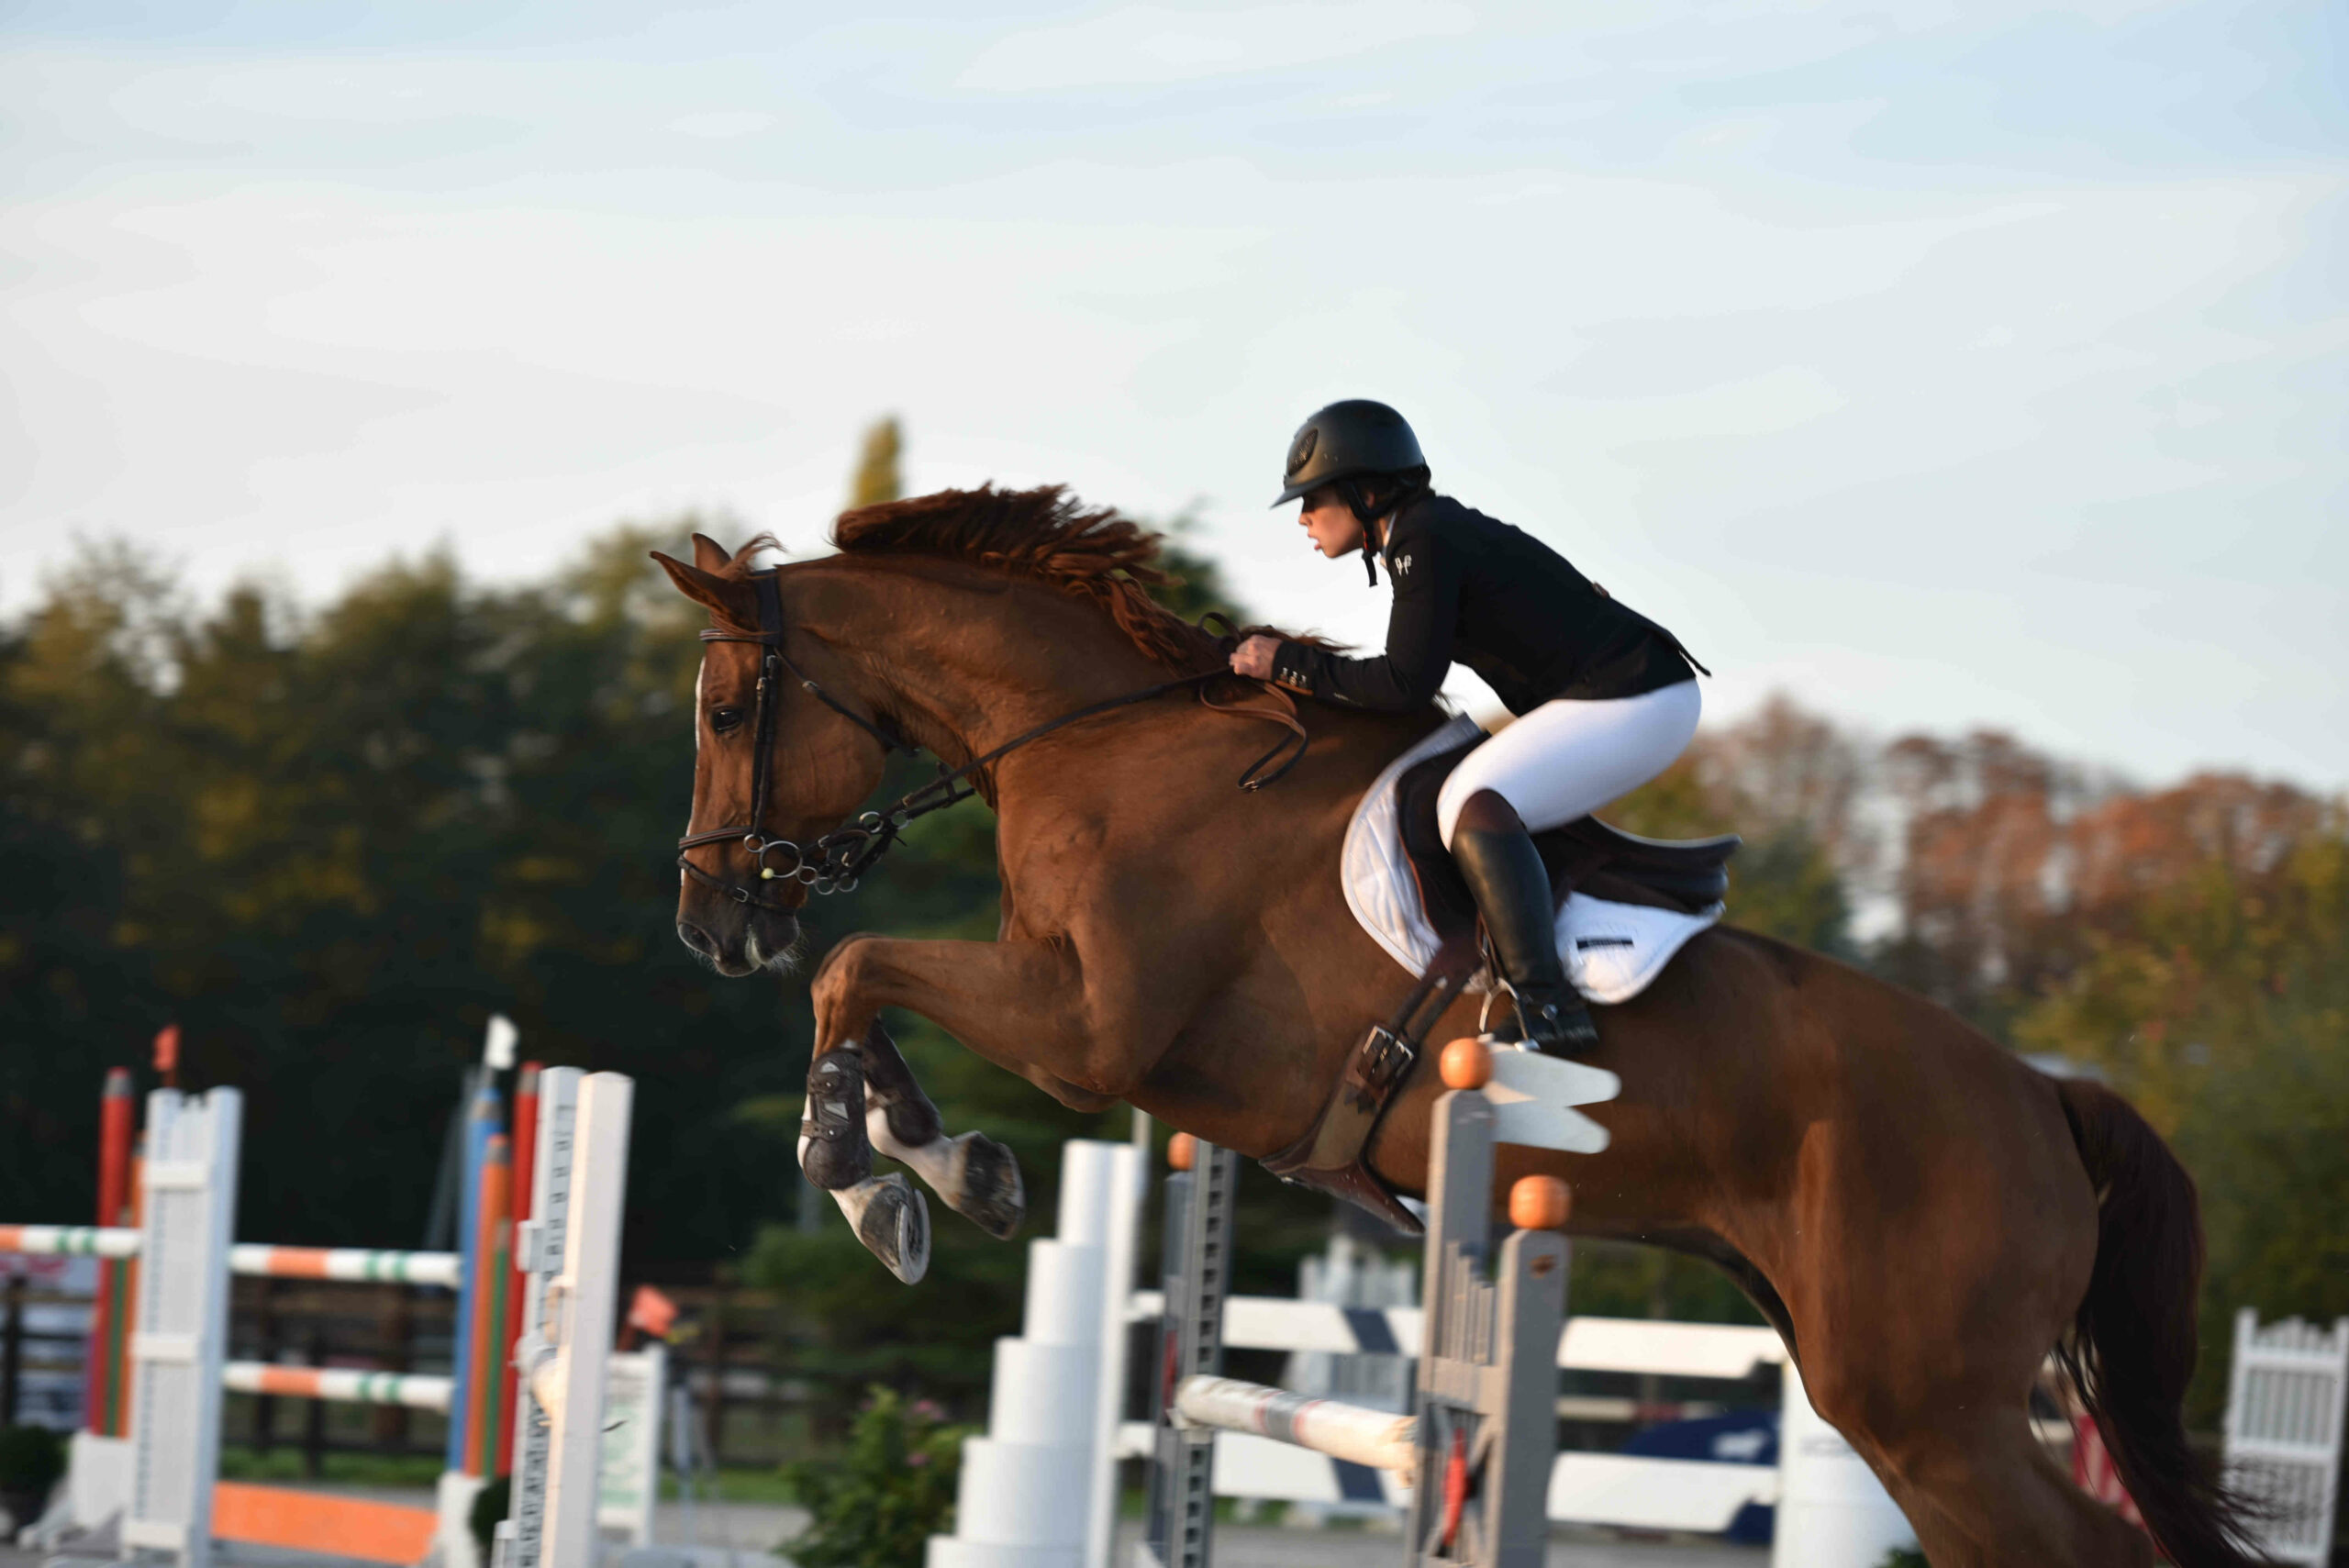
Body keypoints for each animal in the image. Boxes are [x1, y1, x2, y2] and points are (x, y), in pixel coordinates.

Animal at [657, 490, 2254, 1568]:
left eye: (729, 711)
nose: (711, 926)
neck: (1104, 739)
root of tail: (2046, 1096)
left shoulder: (1091, 1030)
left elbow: (854, 965)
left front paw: (881, 1181)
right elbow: (860, 980)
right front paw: (941, 1170)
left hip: (1928, 1402)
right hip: (1895, 1393)